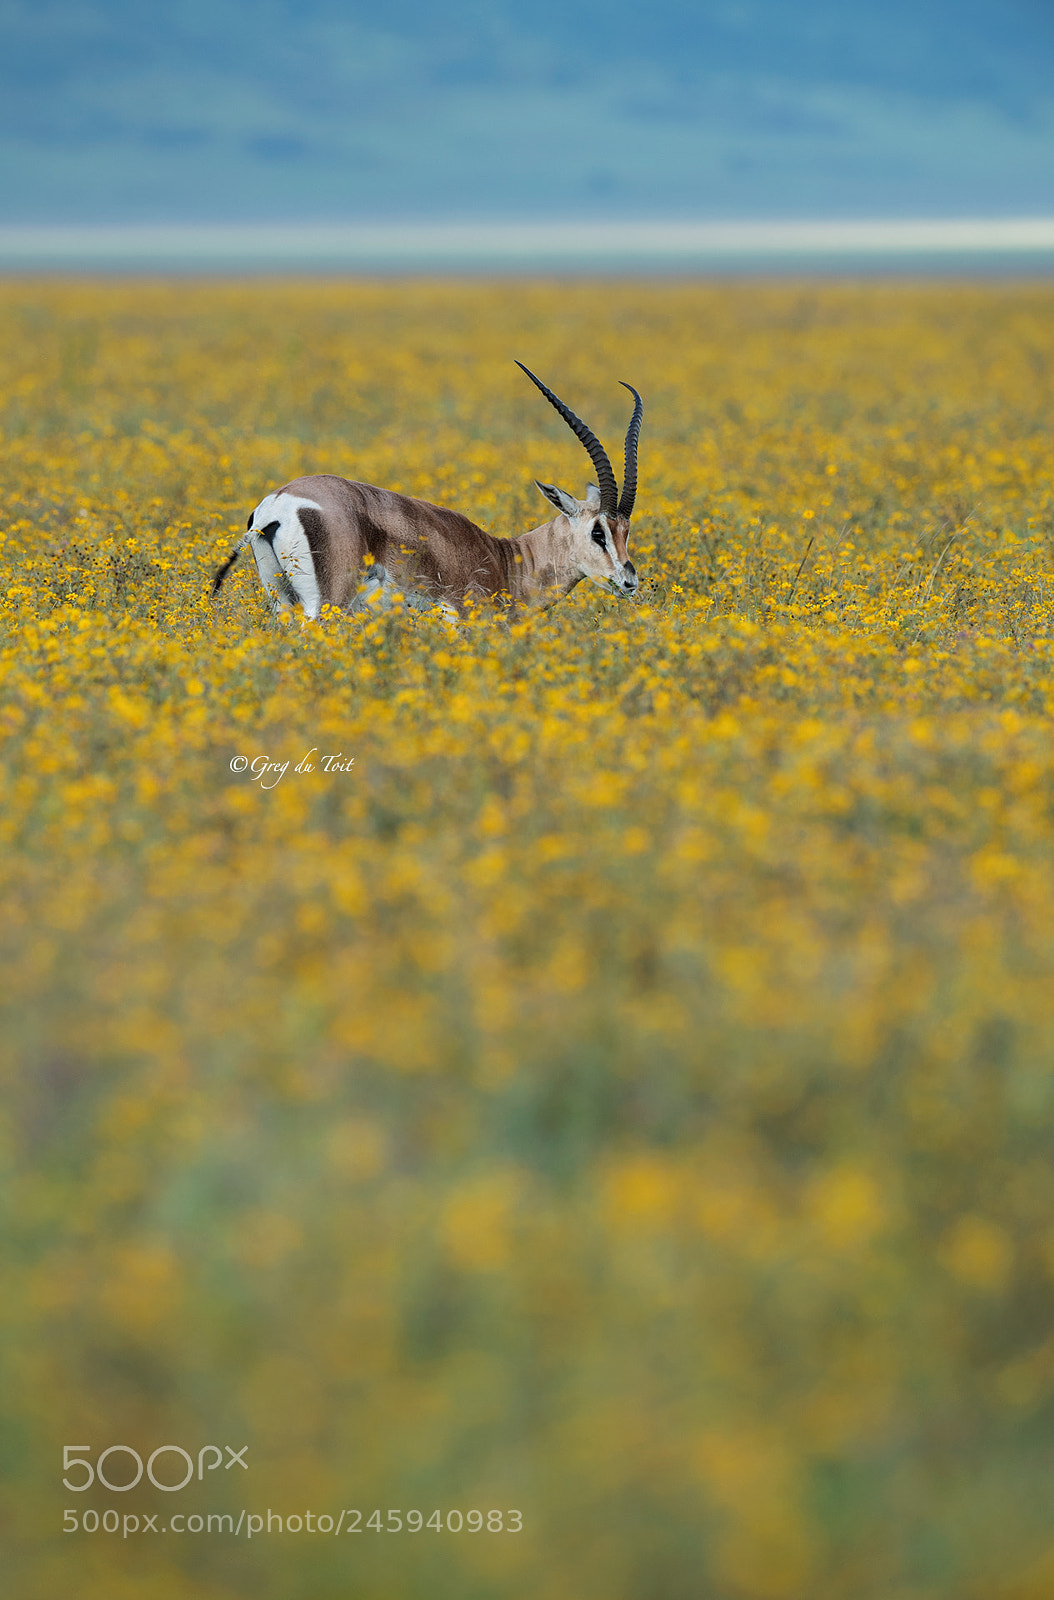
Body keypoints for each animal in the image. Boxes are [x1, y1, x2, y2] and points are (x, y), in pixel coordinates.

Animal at [211, 363, 643, 620]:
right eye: (598, 531)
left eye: (626, 531)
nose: (629, 582)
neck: (509, 562)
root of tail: (276, 505)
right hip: (327, 605)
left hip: (283, 602)